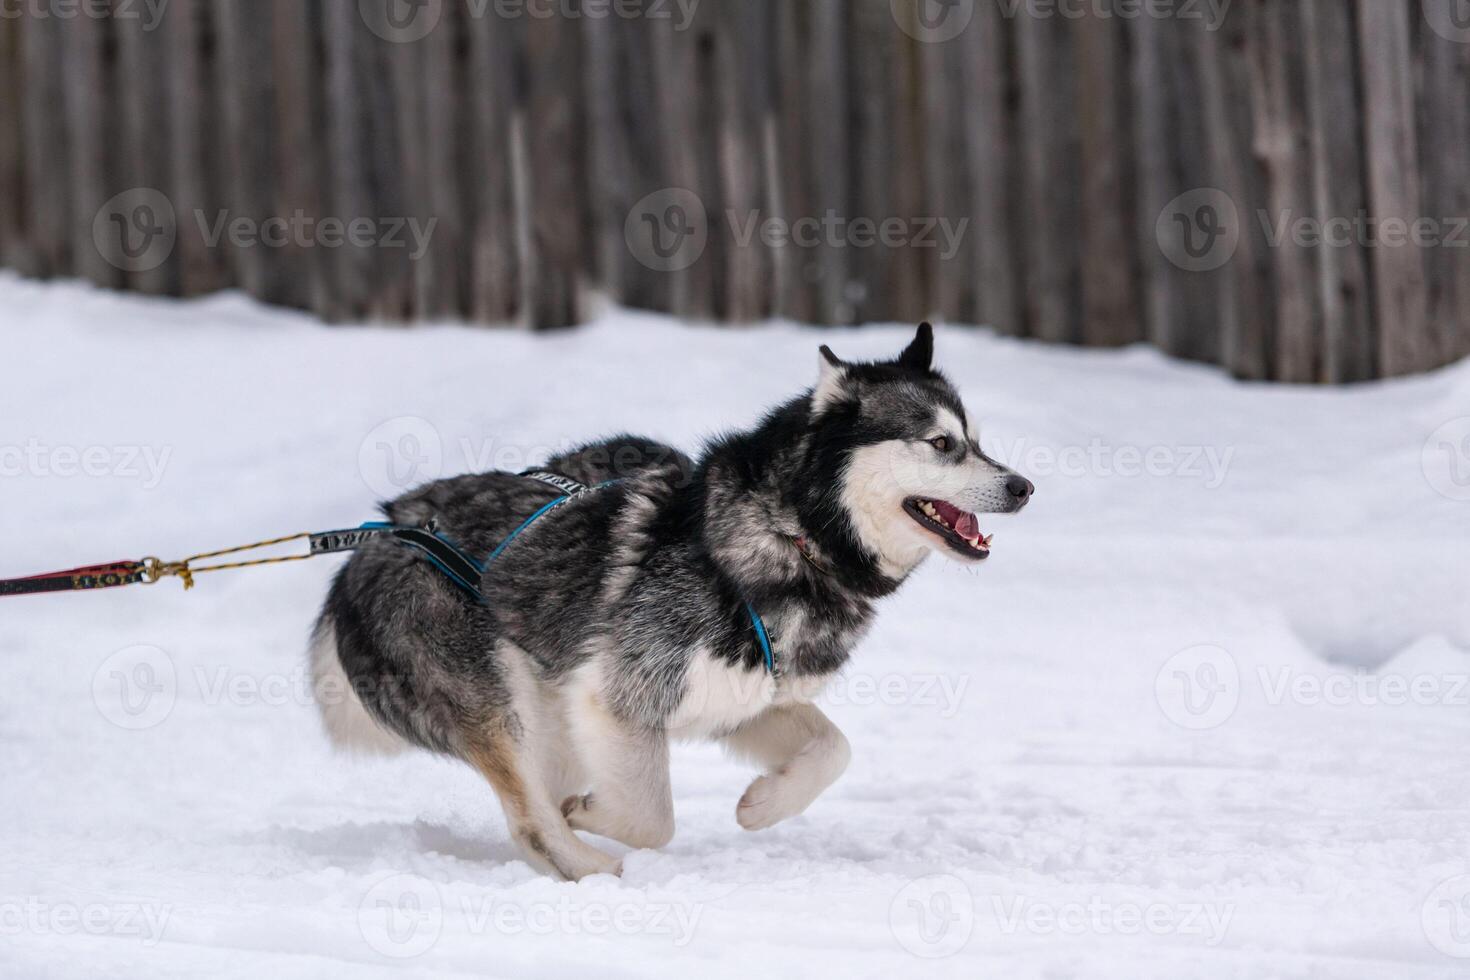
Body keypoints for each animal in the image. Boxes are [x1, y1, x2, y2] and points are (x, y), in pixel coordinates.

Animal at [313, 323, 1034, 881]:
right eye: (940, 444)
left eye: (977, 439)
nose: (1023, 486)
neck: (793, 539)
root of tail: (379, 534)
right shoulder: (622, 699)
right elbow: (652, 820)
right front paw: (596, 817)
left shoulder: (746, 701)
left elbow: (835, 750)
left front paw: (764, 805)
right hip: (501, 702)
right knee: (531, 819)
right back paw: (596, 870)